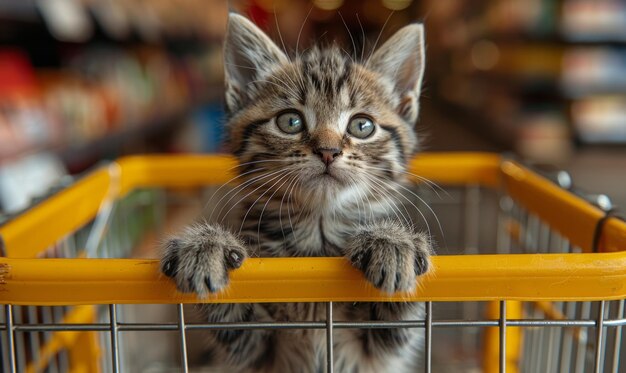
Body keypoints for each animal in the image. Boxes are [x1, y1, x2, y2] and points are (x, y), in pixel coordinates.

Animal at [161, 13, 432, 372]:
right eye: (290, 121)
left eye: (362, 126)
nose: (328, 151)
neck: (316, 238)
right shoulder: (255, 352)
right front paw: (206, 245)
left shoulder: (379, 351)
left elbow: (399, 323)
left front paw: (392, 242)